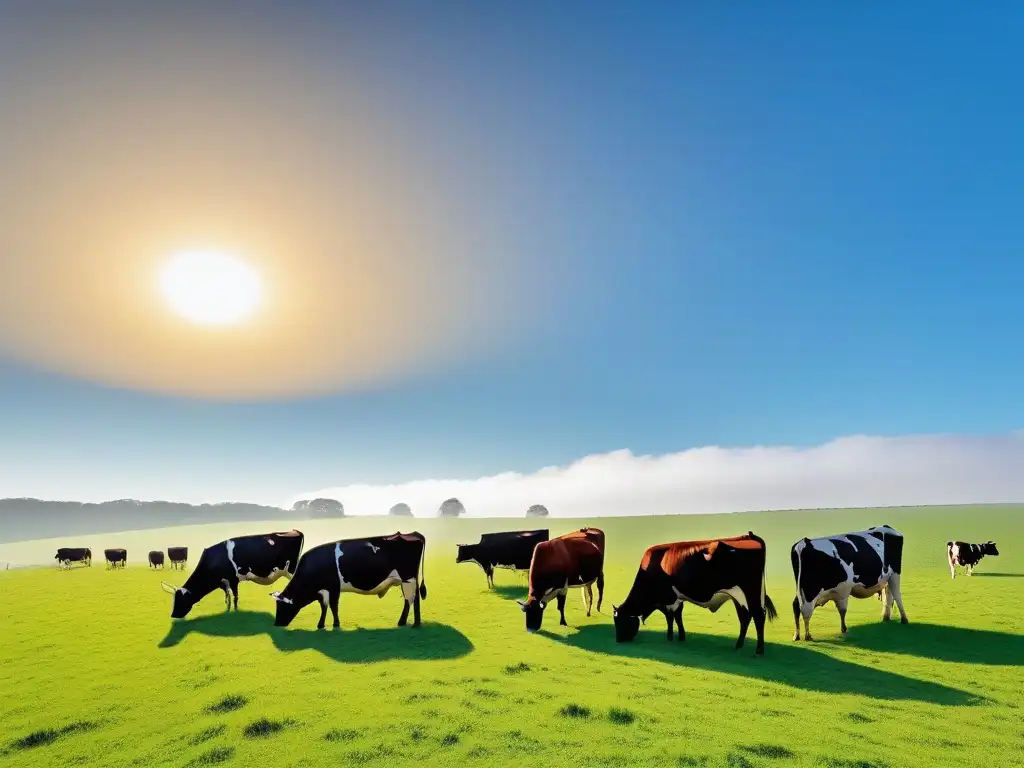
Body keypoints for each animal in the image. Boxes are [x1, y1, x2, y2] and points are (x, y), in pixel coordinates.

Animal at [157, 528, 303, 618]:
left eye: (182, 601)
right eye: (174, 600)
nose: (174, 615)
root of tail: (294, 531)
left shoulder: (234, 579)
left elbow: (235, 596)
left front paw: (236, 610)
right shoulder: (224, 581)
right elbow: (227, 596)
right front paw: (227, 609)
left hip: (291, 570)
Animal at [270, 532, 425, 634]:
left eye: (282, 607)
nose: (277, 624)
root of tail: (412, 534)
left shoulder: (334, 588)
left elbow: (333, 606)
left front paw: (335, 624)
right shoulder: (323, 590)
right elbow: (324, 606)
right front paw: (321, 625)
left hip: (408, 579)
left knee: (412, 599)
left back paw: (411, 623)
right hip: (407, 581)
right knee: (411, 599)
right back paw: (408, 622)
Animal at [606, 536, 774, 655]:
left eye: (620, 622)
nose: (618, 640)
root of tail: (749, 536)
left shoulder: (669, 598)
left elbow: (670, 616)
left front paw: (670, 637)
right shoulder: (676, 598)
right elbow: (677, 616)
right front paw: (680, 636)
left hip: (750, 592)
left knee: (758, 616)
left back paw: (759, 650)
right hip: (738, 597)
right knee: (745, 617)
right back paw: (738, 645)